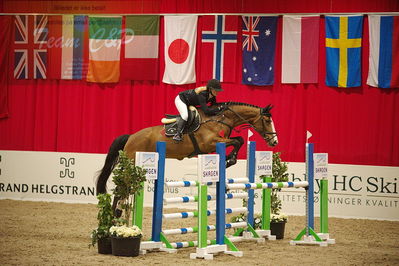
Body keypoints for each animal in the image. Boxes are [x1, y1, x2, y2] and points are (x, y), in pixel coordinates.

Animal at [97, 102, 278, 197]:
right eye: (267, 121)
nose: (274, 141)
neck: (220, 119)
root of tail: (130, 137)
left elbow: (239, 140)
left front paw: (229, 160)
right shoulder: (210, 143)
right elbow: (237, 141)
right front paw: (230, 159)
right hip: (132, 163)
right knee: (121, 188)